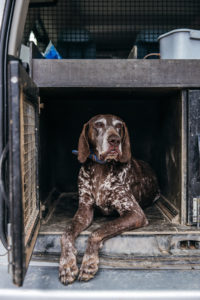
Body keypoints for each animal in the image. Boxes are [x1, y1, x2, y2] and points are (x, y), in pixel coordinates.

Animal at [59, 114, 159, 284]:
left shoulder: (135, 213)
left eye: (119, 126)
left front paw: (89, 262)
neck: (101, 168)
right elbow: (66, 234)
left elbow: (97, 231)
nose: (115, 140)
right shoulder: (85, 210)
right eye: (98, 124)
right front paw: (67, 265)